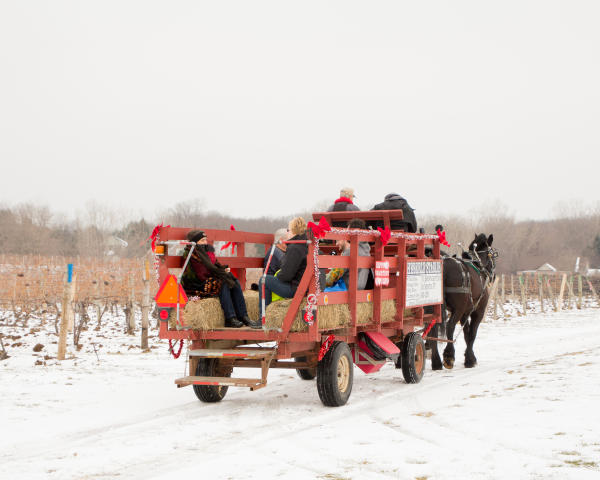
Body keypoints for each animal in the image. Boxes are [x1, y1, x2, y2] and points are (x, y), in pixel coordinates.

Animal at [428, 234, 500, 370]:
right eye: (493, 255)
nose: (493, 276)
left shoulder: (466, 312)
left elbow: (466, 334)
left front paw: (470, 357)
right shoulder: (478, 311)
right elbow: (472, 334)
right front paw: (470, 359)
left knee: (432, 329)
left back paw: (436, 362)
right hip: (458, 309)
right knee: (449, 326)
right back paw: (449, 355)